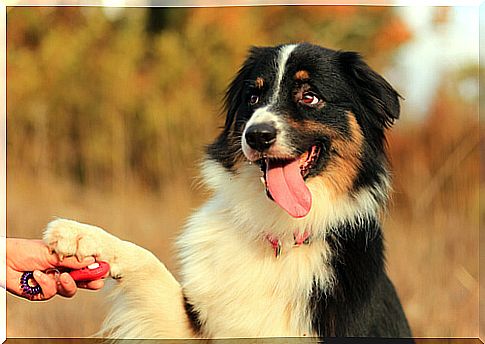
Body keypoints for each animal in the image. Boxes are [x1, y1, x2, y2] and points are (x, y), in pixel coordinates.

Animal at [43, 43, 410, 338]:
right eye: (253, 97)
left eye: (309, 96)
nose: (256, 135)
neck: (281, 234)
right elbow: (149, 262)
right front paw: (80, 235)